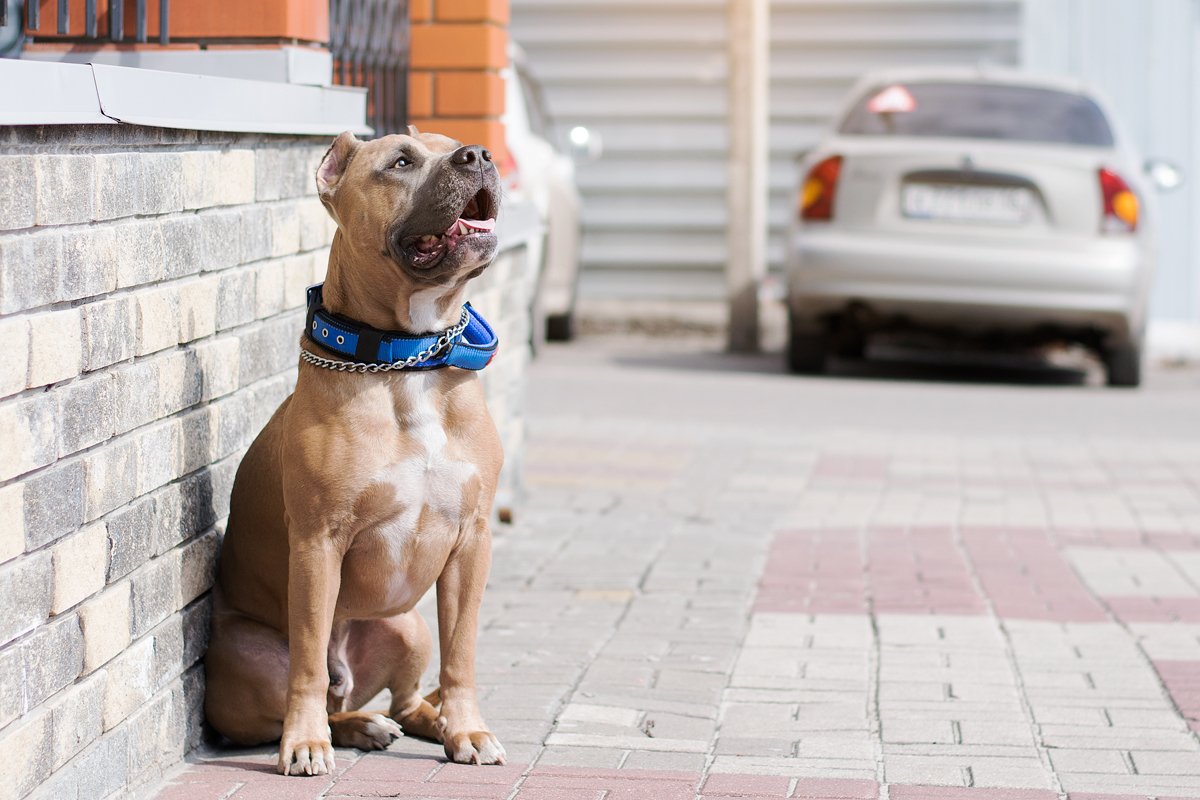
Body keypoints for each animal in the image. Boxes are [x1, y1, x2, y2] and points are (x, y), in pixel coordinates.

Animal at [204, 130, 504, 777]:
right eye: (400, 161)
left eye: (456, 147)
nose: (479, 155)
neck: (408, 359)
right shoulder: (319, 542)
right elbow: (308, 663)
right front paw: (305, 744)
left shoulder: (472, 541)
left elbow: (462, 652)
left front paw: (468, 729)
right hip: (244, 655)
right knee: (316, 690)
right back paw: (346, 728)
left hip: (408, 626)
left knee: (409, 698)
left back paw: (428, 723)